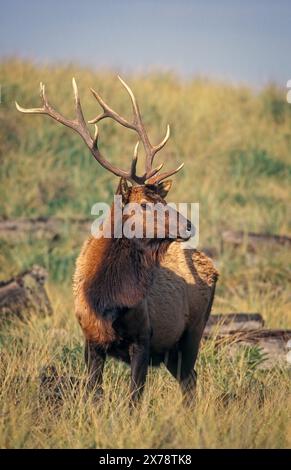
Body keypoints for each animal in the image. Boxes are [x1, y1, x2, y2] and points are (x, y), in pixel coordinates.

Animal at [14, 76, 218, 404]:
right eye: (145, 204)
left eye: (162, 199)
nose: (188, 224)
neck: (106, 302)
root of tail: (212, 267)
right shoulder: (91, 341)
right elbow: (94, 393)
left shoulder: (144, 337)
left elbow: (134, 398)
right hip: (172, 350)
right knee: (190, 379)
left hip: (193, 332)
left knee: (190, 380)